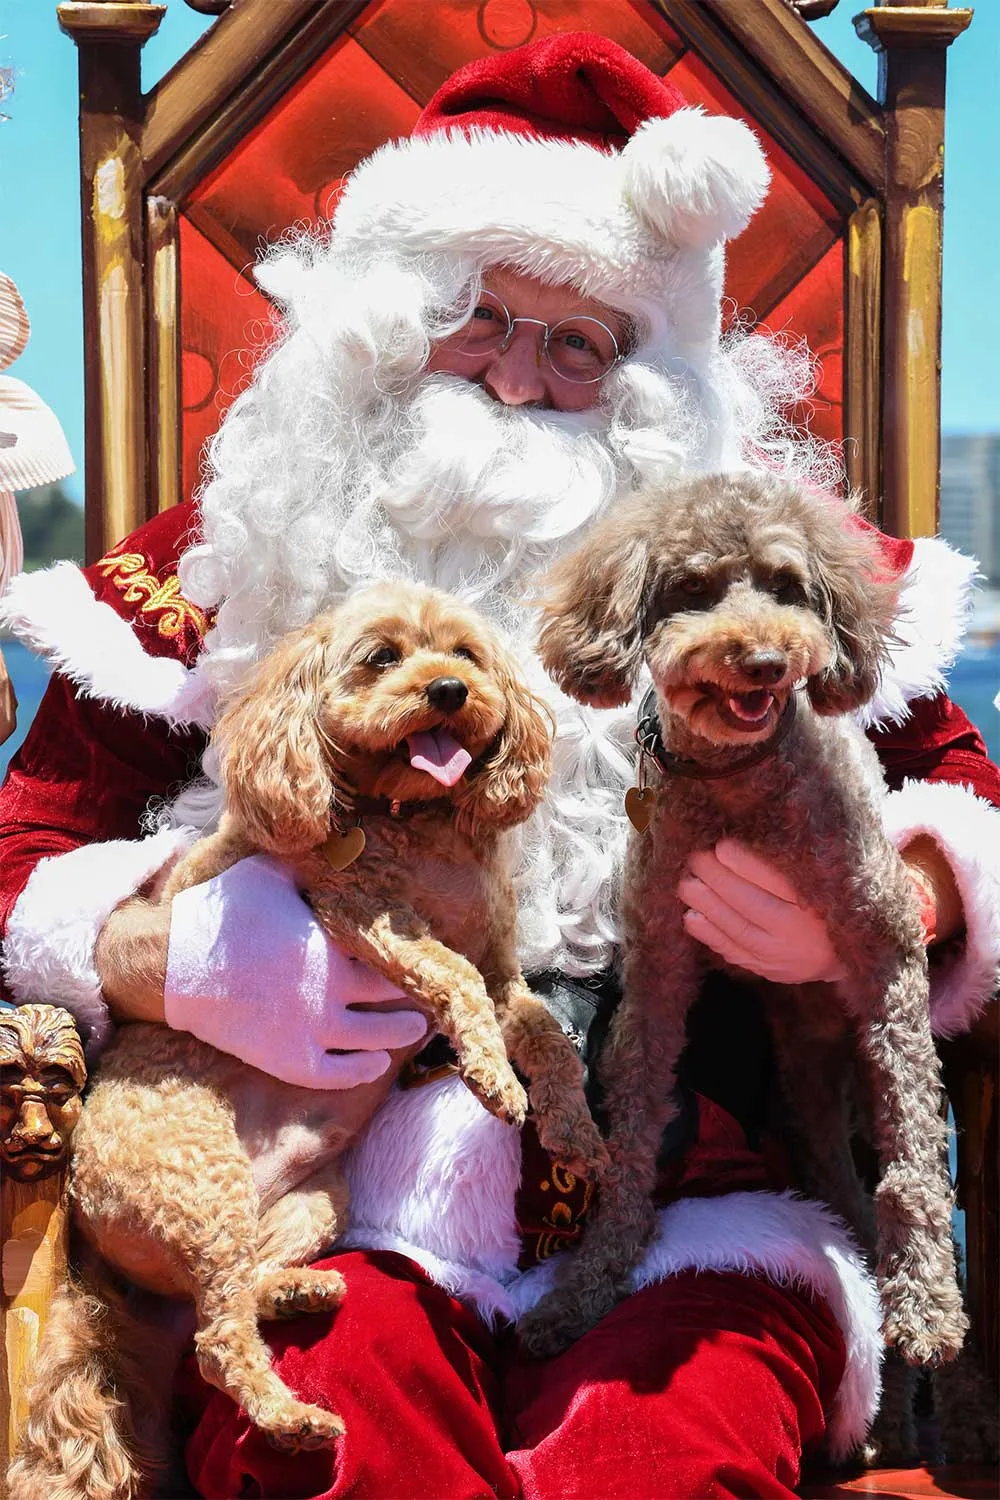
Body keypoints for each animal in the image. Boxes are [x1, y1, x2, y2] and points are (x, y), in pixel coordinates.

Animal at [11, 582, 605, 1500]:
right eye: (381, 657)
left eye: (465, 655)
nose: (448, 692)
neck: (411, 817)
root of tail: (84, 1227)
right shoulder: (363, 916)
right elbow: (452, 978)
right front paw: (491, 1080)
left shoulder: (506, 974)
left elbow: (547, 1041)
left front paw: (574, 1132)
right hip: (196, 1177)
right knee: (216, 1342)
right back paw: (294, 1420)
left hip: (312, 1202)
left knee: (230, 1297)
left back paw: (297, 1296)